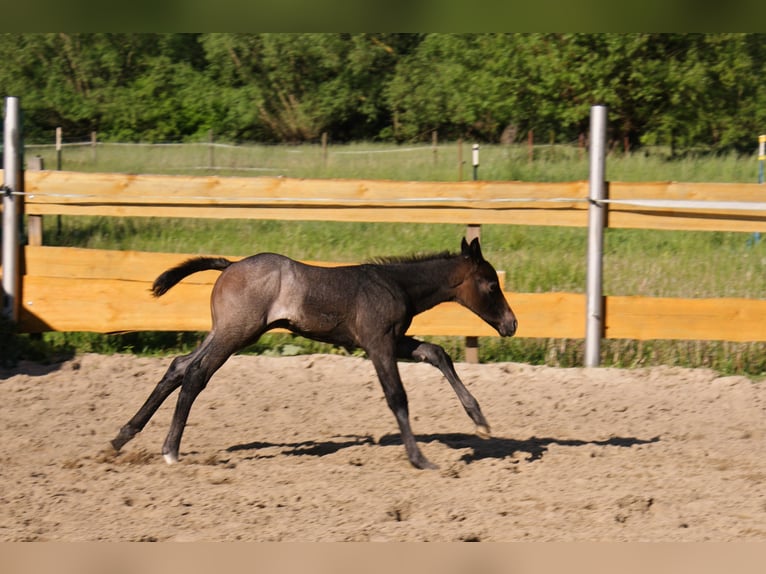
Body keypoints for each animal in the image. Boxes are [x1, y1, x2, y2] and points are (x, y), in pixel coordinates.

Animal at [110, 237, 517, 470]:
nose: (511, 324)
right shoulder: (378, 344)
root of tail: (230, 264)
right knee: (196, 374)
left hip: (225, 330)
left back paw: (121, 438)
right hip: (236, 333)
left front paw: (480, 419)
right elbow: (397, 396)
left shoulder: (393, 340)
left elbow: (437, 353)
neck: (394, 284)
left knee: (179, 367)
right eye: (491, 285)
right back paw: (169, 450)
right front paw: (419, 458)